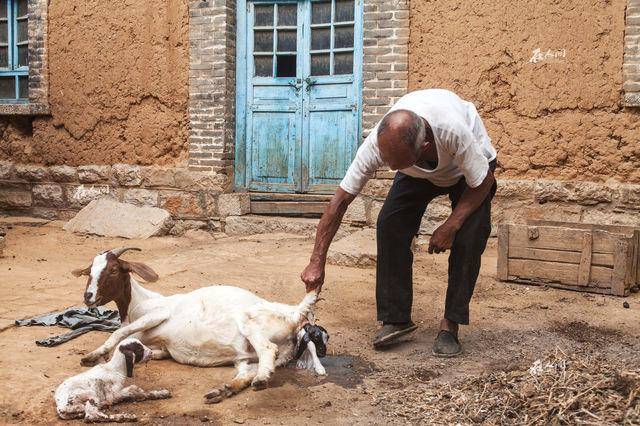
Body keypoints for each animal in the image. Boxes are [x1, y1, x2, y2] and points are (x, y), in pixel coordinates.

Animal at [74, 246, 330, 402]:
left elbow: (120, 333)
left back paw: (261, 379)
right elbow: (140, 345)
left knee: (268, 349)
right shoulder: (161, 348)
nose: (88, 296)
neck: (138, 303)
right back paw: (224, 390)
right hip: (251, 357)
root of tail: (294, 313)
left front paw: (94, 355)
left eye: (113, 270)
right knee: (247, 372)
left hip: (250, 324)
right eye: (89, 272)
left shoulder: (158, 313)